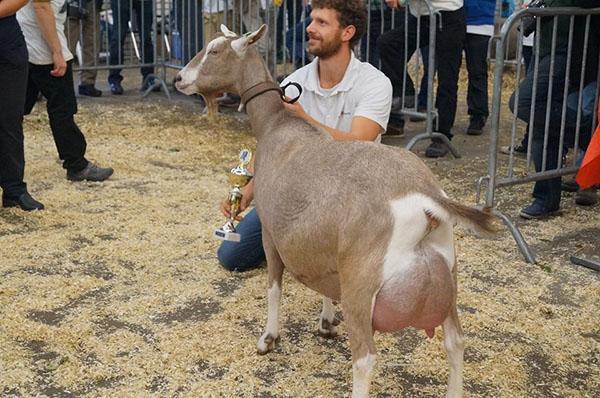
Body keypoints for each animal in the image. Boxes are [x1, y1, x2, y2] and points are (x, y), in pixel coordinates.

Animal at [176, 24, 494, 398]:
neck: (276, 125)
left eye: (214, 51)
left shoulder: (271, 232)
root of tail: (424, 196)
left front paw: (268, 338)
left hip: (362, 281)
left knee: (365, 357)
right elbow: (326, 284)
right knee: (455, 342)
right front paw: (326, 321)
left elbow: (273, 286)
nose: (180, 78)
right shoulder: (325, 253)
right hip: (448, 274)